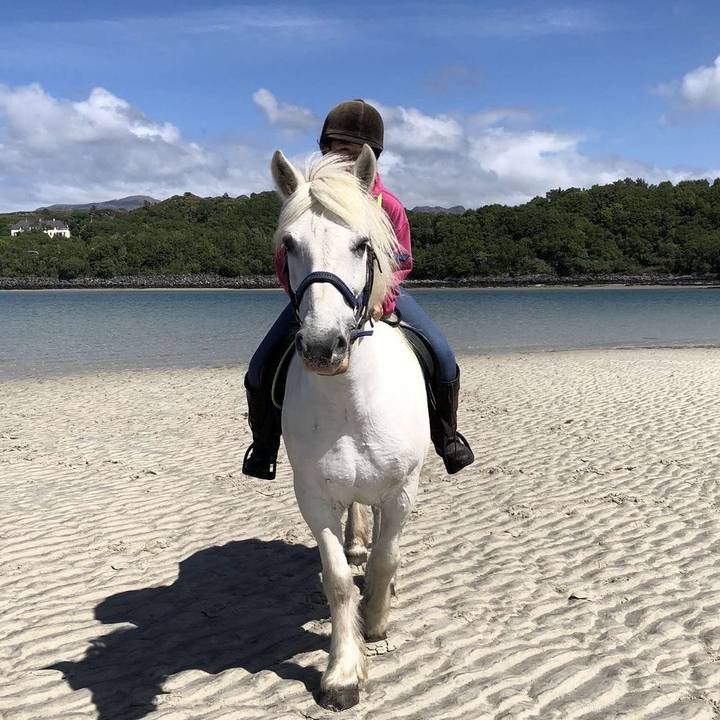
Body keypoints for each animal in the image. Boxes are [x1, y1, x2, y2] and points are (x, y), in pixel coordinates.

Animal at [270, 146, 429, 711]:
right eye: (289, 245)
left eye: (363, 244)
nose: (323, 348)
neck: (349, 402)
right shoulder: (313, 496)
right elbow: (338, 578)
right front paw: (342, 674)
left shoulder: (402, 490)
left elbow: (386, 559)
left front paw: (377, 622)